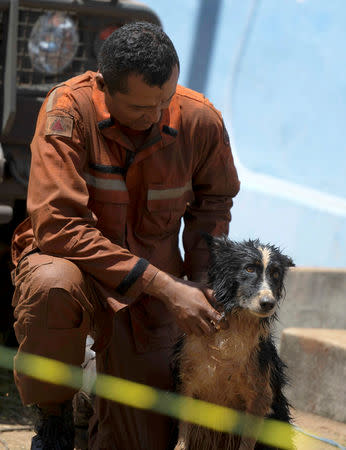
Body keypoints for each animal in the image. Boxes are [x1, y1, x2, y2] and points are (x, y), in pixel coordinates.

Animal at [173, 236, 294, 450]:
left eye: (275, 273)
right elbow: (183, 434)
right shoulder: (186, 382)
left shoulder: (260, 398)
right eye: (249, 269)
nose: (268, 303)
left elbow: (247, 443)